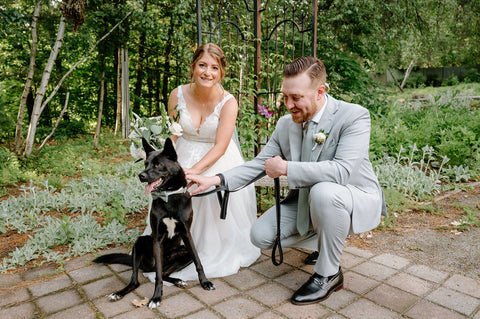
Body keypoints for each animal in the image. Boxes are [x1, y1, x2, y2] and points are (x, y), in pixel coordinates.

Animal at [94, 138, 214, 310]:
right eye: (146, 163)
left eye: (158, 165)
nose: (141, 175)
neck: (168, 196)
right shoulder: (157, 237)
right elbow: (157, 276)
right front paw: (156, 297)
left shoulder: (187, 234)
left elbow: (198, 261)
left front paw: (205, 282)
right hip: (140, 243)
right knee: (139, 279)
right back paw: (119, 293)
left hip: (183, 253)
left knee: (164, 273)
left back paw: (178, 280)